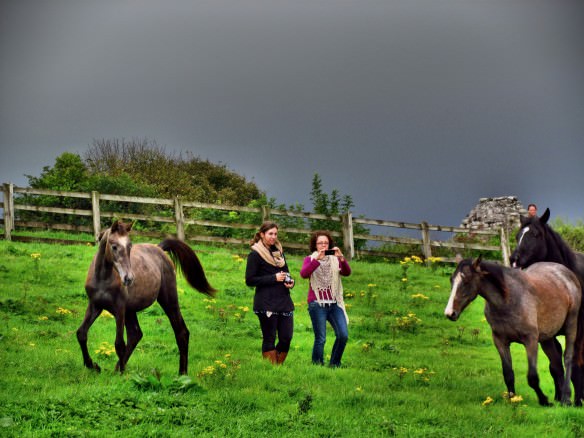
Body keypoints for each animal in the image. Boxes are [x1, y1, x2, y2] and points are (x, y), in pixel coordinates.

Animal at [76, 221, 216, 374]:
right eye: (114, 246)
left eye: (130, 246)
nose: (128, 278)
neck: (103, 278)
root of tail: (159, 249)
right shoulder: (95, 306)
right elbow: (81, 333)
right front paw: (92, 365)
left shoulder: (119, 309)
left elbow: (119, 343)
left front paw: (120, 374)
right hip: (130, 310)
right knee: (135, 334)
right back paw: (117, 367)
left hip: (168, 300)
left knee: (181, 332)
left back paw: (182, 373)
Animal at [444, 255, 580, 406]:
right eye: (451, 280)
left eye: (466, 281)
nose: (449, 313)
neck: (508, 300)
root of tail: (566, 273)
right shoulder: (500, 341)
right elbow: (508, 374)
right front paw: (513, 399)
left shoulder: (531, 340)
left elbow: (532, 377)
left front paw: (544, 400)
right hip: (547, 338)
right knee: (556, 364)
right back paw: (560, 397)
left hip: (571, 326)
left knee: (567, 359)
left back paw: (566, 398)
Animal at [508, 207, 584, 406]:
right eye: (518, 235)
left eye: (536, 234)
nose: (513, 259)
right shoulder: (546, 335)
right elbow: (555, 364)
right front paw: (559, 397)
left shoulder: (578, 332)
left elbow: (576, 362)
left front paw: (576, 400)